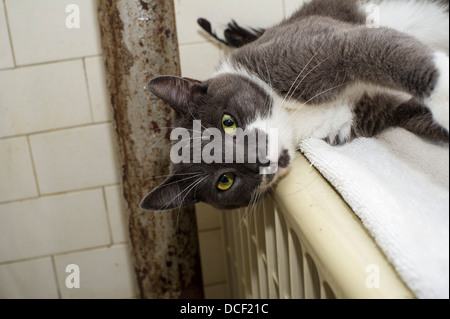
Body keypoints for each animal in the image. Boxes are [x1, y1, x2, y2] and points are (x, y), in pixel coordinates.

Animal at [140, 0, 446, 212]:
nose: (260, 160)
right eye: (225, 180)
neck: (293, 117)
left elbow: (372, 48)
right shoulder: (376, 109)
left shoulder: (311, 47)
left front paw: (443, 94)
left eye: (228, 122)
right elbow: (416, 115)